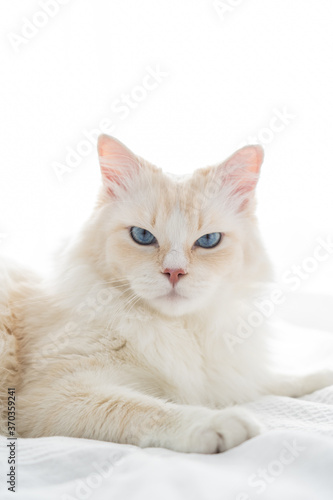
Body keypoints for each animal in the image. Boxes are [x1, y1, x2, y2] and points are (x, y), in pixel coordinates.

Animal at [0, 134, 330, 454]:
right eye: (143, 236)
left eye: (208, 241)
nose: (174, 272)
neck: (182, 330)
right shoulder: (54, 394)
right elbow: (147, 409)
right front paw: (220, 423)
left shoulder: (227, 374)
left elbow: (276, 380)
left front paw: (321, 377)